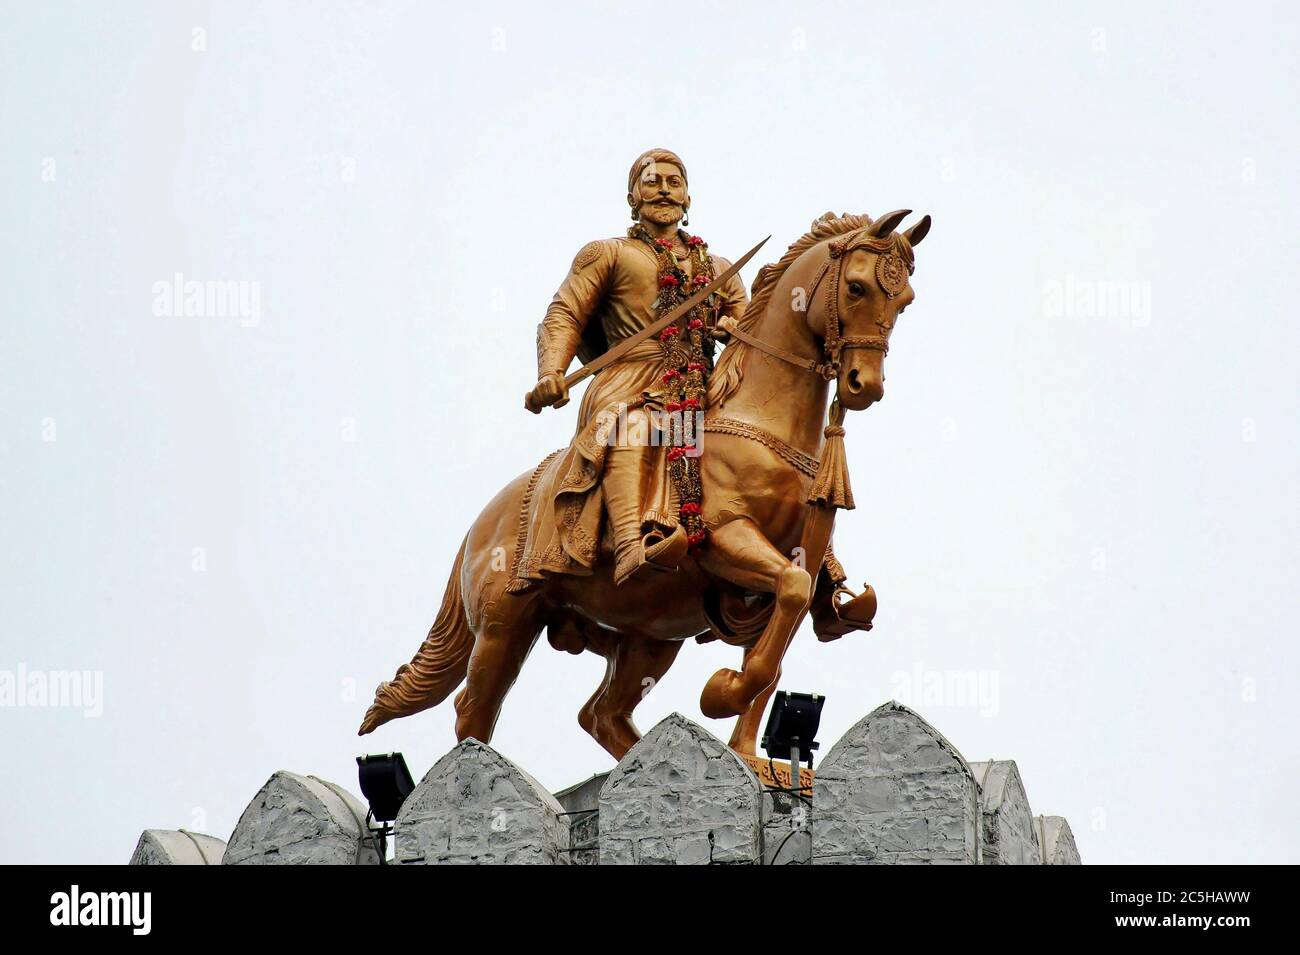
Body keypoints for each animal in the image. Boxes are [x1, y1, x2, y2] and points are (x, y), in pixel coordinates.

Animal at [356, 209, 930, 764]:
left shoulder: (791, 564)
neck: (762, 421)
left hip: (650, 636)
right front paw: (721, 694)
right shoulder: (726, 538)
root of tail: (482, 523)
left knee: (602, 713)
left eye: (904, 301)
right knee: (473, 710)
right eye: (856, 287)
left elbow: (784, 632)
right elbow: (786, 599)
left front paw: (748, 754)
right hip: (503, 626)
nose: (864, 386)